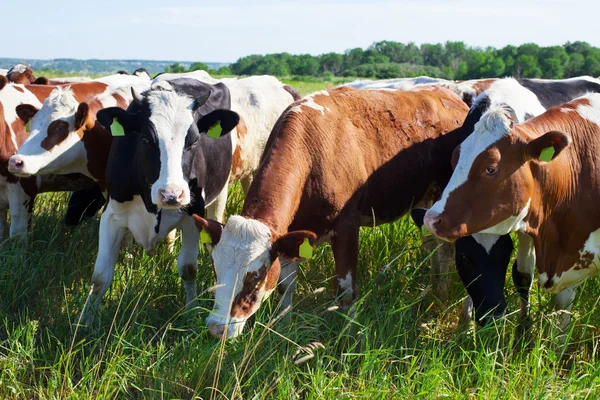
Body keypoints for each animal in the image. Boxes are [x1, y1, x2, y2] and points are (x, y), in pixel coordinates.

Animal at [195, 85, 472, 338]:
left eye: (255, 278)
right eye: (215, 269)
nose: (217, 329)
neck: (312, 155)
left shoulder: (346, 228)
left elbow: (345, 290)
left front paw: (347, 338)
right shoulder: (291, 235)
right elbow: (286, 286)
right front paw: (282, 327)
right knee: (437, 247)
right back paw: (437, 293)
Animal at [412, 77, 600, 324]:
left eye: (505, 256)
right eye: (465, 257)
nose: (493, 313)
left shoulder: (530, 224)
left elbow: (522, 275)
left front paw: (524, 325)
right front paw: (466, 324)